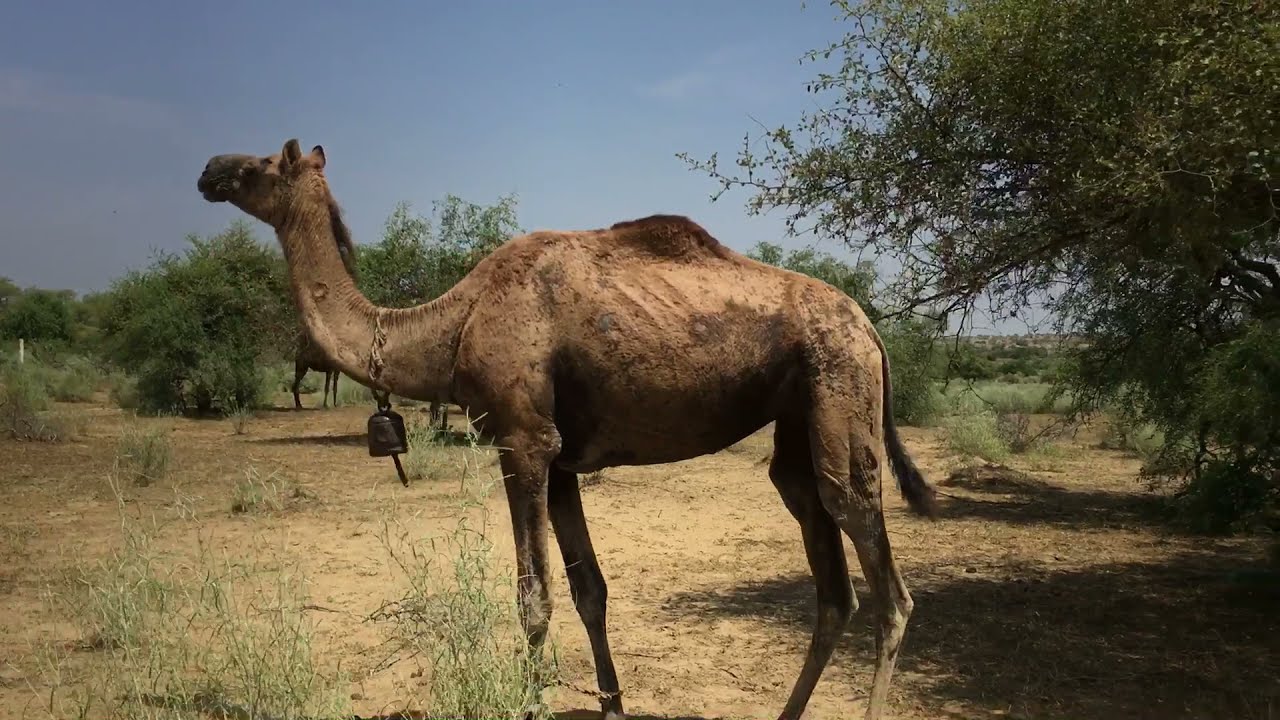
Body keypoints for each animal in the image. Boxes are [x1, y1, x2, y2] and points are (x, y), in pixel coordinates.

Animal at [196, 138, 938, 720]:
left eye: (261, 164)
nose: (208, 170)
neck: (453, 325)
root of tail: (870, 326)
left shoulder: (522, 441)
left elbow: (534, 596)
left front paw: (531, 705)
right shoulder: (559, 460)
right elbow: (590, 591)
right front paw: (612, 707)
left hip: (841, 384)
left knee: (888, 585)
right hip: (798, 422)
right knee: (831, 581)